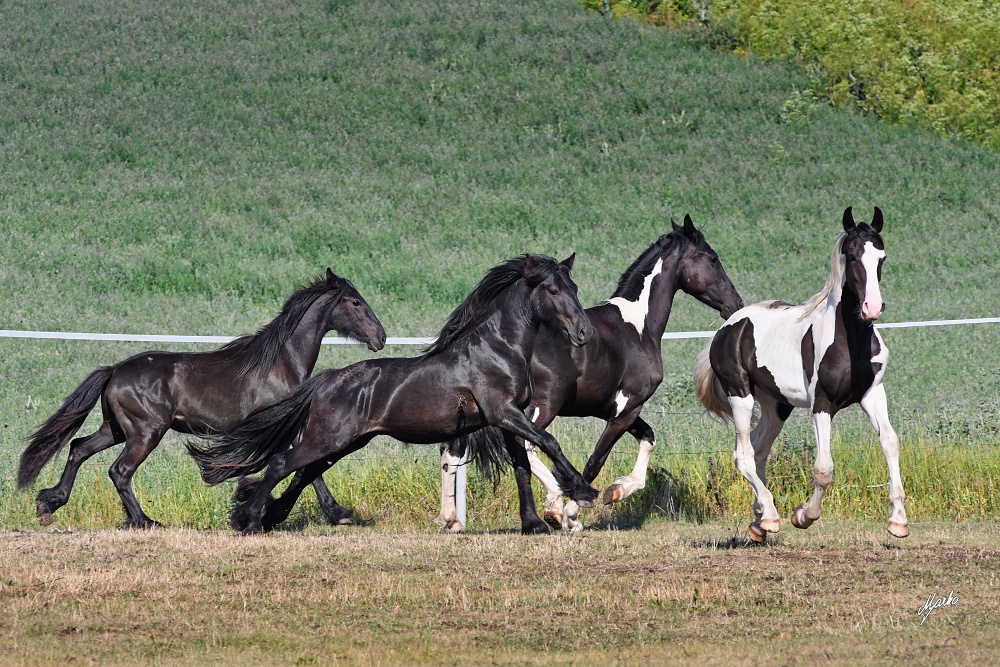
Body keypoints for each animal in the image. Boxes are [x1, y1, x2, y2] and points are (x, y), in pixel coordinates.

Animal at [20, 268, 386, 528]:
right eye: (355, 302)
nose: (381, 337)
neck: (280, 362)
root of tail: (114, 371)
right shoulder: (283, 429)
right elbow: (305, 468)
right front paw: (335, 512)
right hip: (144, 433)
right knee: (119, 471)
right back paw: (145, 521)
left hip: (116, 430)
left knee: (78, 448)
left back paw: (49, 503)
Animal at [188, 253, 596, 536]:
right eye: (553, 290)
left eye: (574, 288)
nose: (584, 332)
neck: (498, 349)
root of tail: (327, 378)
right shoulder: (504, 413)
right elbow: (549, 442)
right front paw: (582, 491)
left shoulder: (511, 418)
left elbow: (523, 467)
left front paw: (534, 524)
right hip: (330, 437)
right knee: (281, 464)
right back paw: (250, 520)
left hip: (345, 442)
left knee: (304, 471)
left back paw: (279, 515)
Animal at [438, 217, 744, 536]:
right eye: (712, 258)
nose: (735, 304)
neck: (638, 327)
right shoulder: (627, 409)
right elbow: (596, 461)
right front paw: (575, 511)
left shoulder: (612, 408)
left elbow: (648, 438)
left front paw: (617, 490)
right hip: (541, 406)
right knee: (529, 446)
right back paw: (553, 508)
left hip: (476, 410)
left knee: (452, 451)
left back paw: (452, 520)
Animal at [696, 207, 908, 544]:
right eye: (851, 255)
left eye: (882, 257)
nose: (872, 308)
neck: (850, 342)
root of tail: (729, 325)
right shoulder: (821, 404)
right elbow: (823, 468)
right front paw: (803, 516)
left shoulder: (873, 394)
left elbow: (890, 442)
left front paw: (898, 521)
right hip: (740, 396)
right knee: (743, 454)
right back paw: (770, 518)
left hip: (776, 405)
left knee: (759, 450)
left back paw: (759, 521)